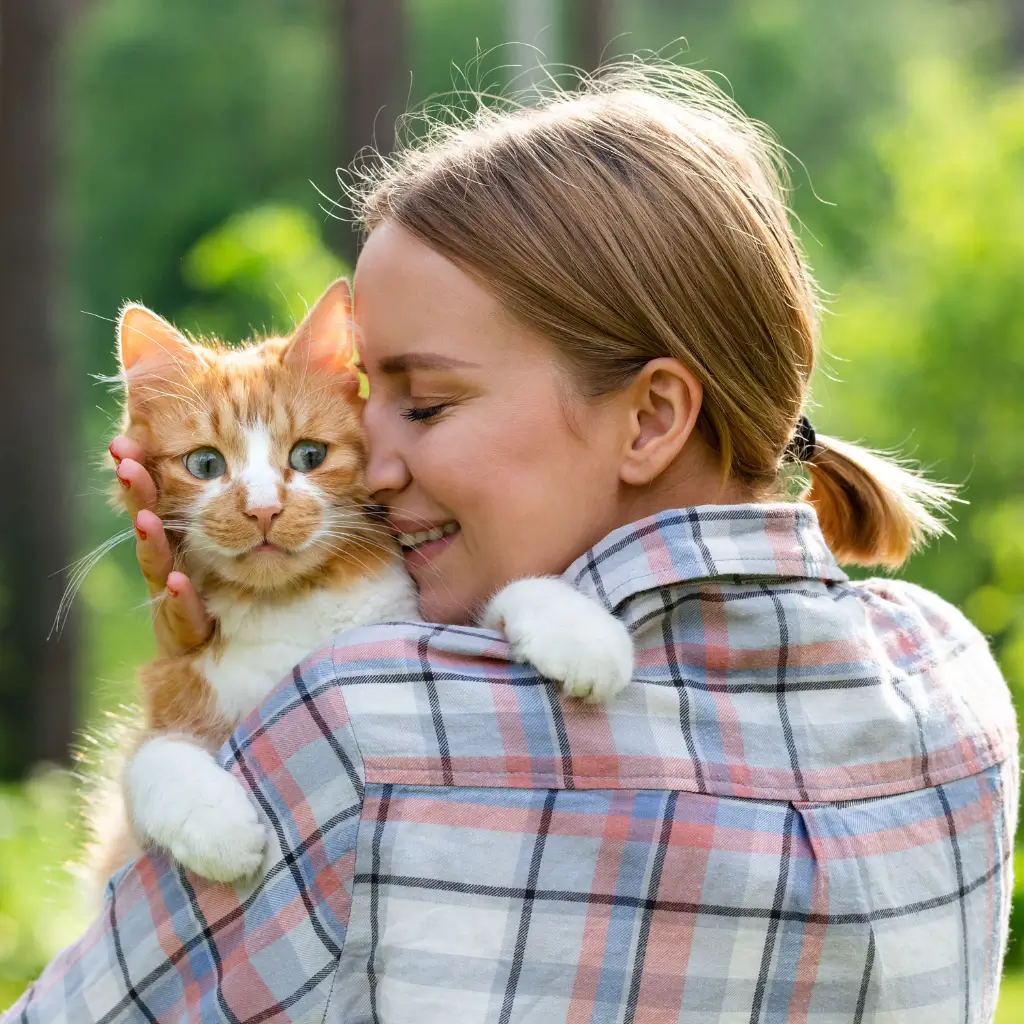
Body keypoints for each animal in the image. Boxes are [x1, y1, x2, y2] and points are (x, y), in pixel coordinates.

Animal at [96, 276, 634, 884]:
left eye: (309, 455)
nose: (263, 509)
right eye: (206, 465)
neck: (291, 605)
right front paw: (220, 828)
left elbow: (509, 593)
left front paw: (582, 637)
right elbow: (151, 759)